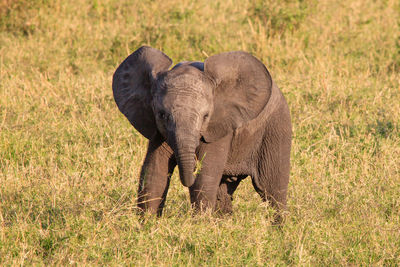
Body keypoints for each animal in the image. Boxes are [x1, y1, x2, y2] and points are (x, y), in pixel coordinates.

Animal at [111, 45, 290, 219]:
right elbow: (155, 171)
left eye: (205, 116)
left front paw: (199, 223)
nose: (193, 166)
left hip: (276, 128)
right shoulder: (157, 130)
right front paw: (146, 223)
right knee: (224, 190)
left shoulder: (219, 127)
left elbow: (206, 175)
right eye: (161, 115)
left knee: (271, 189)